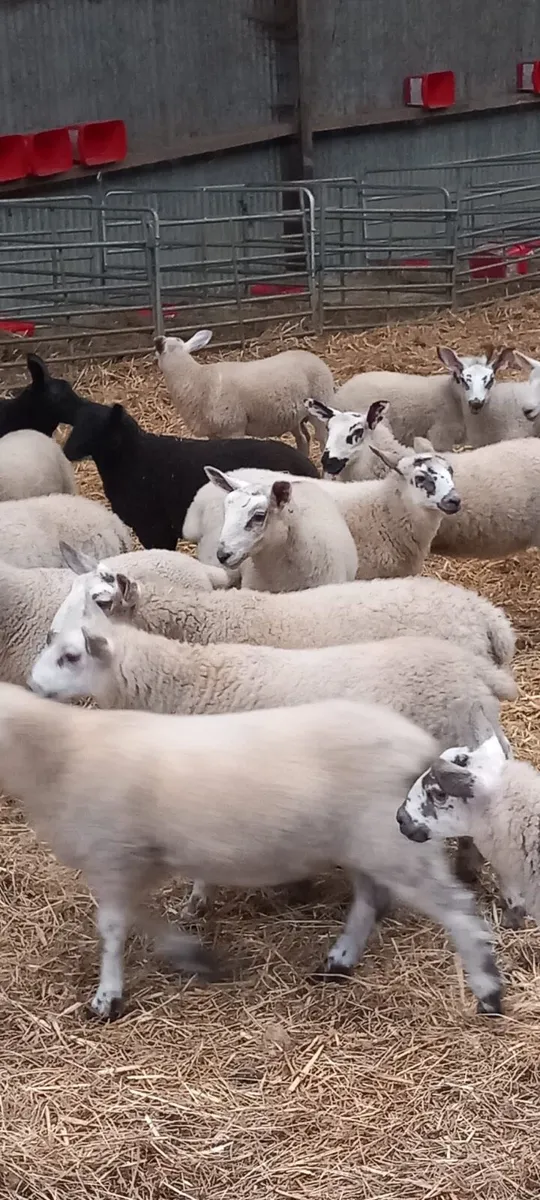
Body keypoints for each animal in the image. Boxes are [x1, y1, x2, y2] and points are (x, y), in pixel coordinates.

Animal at [0, 681, 503, 1018]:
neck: (60, 755)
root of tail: (419, 746)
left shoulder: (114, 857)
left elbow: (111, 929)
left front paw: (106, 998)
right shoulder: (135, 861)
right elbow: (141, 919)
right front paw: (195, 956)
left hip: (392, 842)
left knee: (456, 907)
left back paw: (488, 990)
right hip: (364, 843)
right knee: (370, 901)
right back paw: (339, 961)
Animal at [62, 399, 318, 550]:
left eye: (97, 428)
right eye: (76, 423)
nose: (67, 450)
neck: (134, 459)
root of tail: (309, 465)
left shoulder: (155, 528)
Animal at [155, 330, 334, 453]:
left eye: (159, 347)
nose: (157, 339)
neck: (197, 379)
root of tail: (314, 357)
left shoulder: (234, 429)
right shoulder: (213, 434)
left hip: (320, 405)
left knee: (323, 439)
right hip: (295, 417)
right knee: (303, 438)